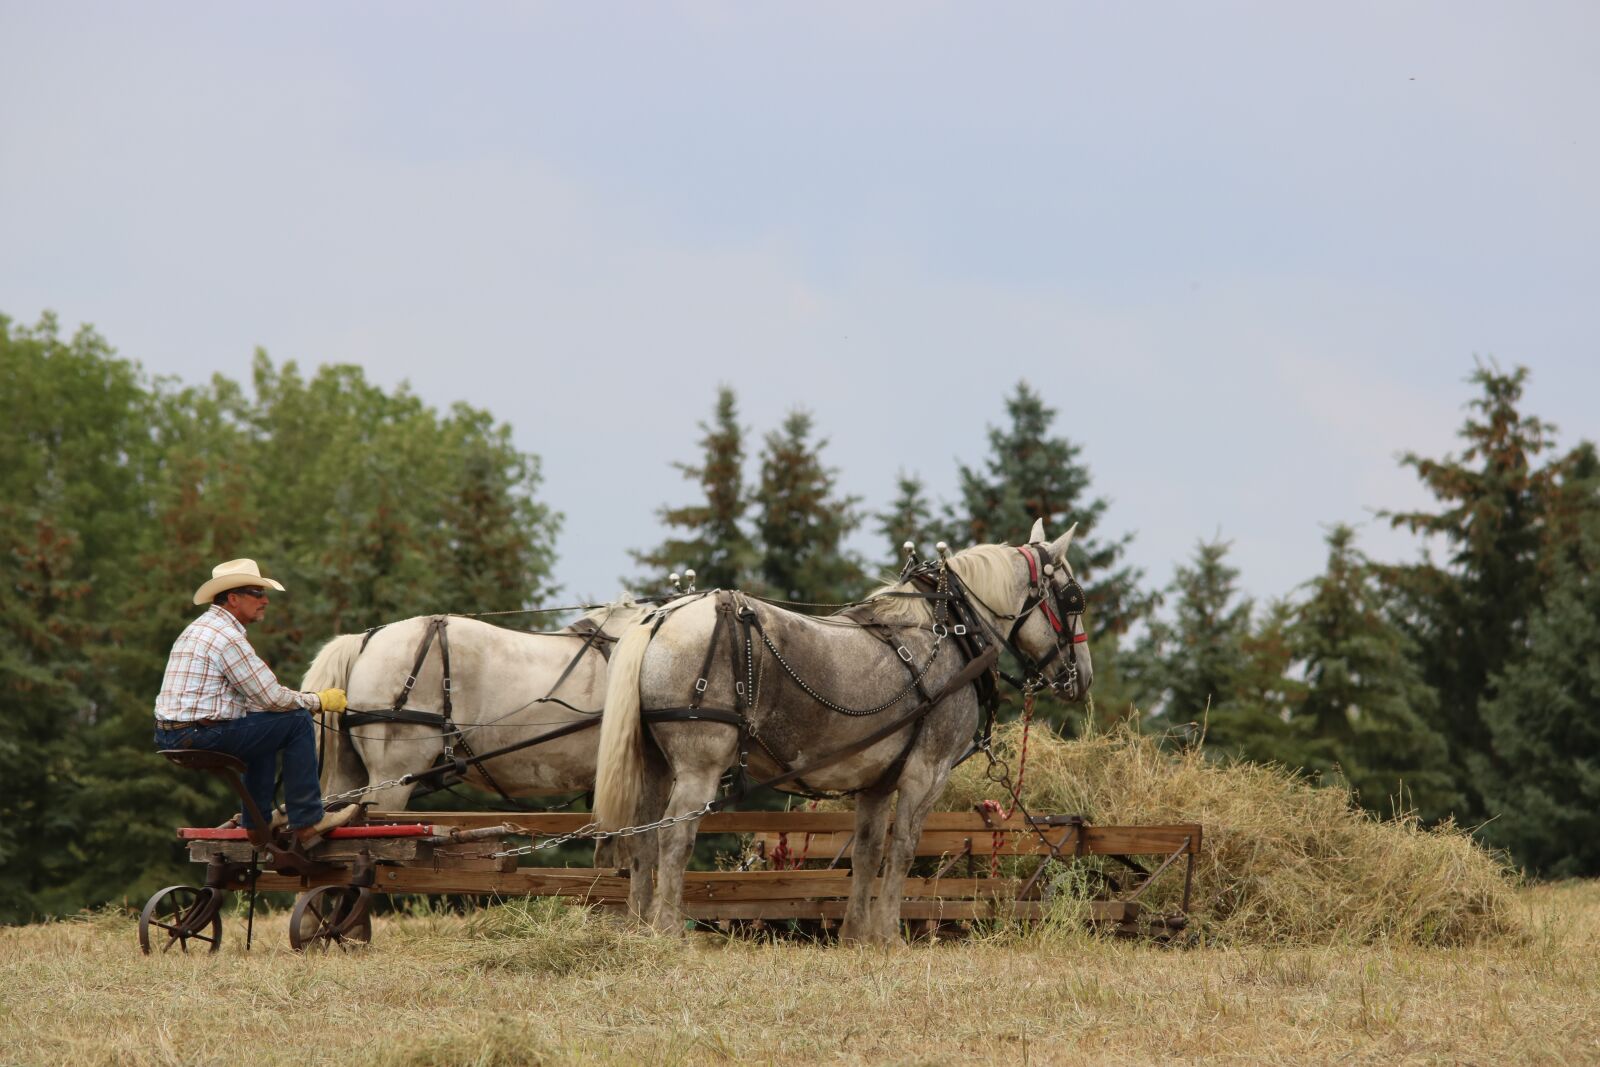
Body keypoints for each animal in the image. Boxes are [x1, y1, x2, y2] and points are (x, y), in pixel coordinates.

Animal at [593, 520, 1093, 944]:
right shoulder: (927, 771)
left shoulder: (876, 781)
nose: (1083, 678)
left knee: (642, 836)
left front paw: (856, 935)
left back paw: (639, 928)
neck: (951, 631)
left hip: (655, 765)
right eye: (1074, 599)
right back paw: (667, 930)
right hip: (700, 767)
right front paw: (889, 936)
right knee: (674, 837)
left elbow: (867, 852)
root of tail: (661, 618)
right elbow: (903, 848)